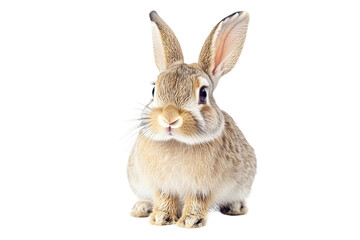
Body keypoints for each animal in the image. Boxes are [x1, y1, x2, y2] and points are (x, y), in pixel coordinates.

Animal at [126, 10, 256, 228]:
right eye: (154, 90)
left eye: (203, 93)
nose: (169, 118)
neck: (177, 142)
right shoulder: (162, 186)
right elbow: (164, 199)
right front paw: (161, 218)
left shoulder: (202, 188)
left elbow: (197, 201)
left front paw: (190, 221)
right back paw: (142, 208)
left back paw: (235, 207)